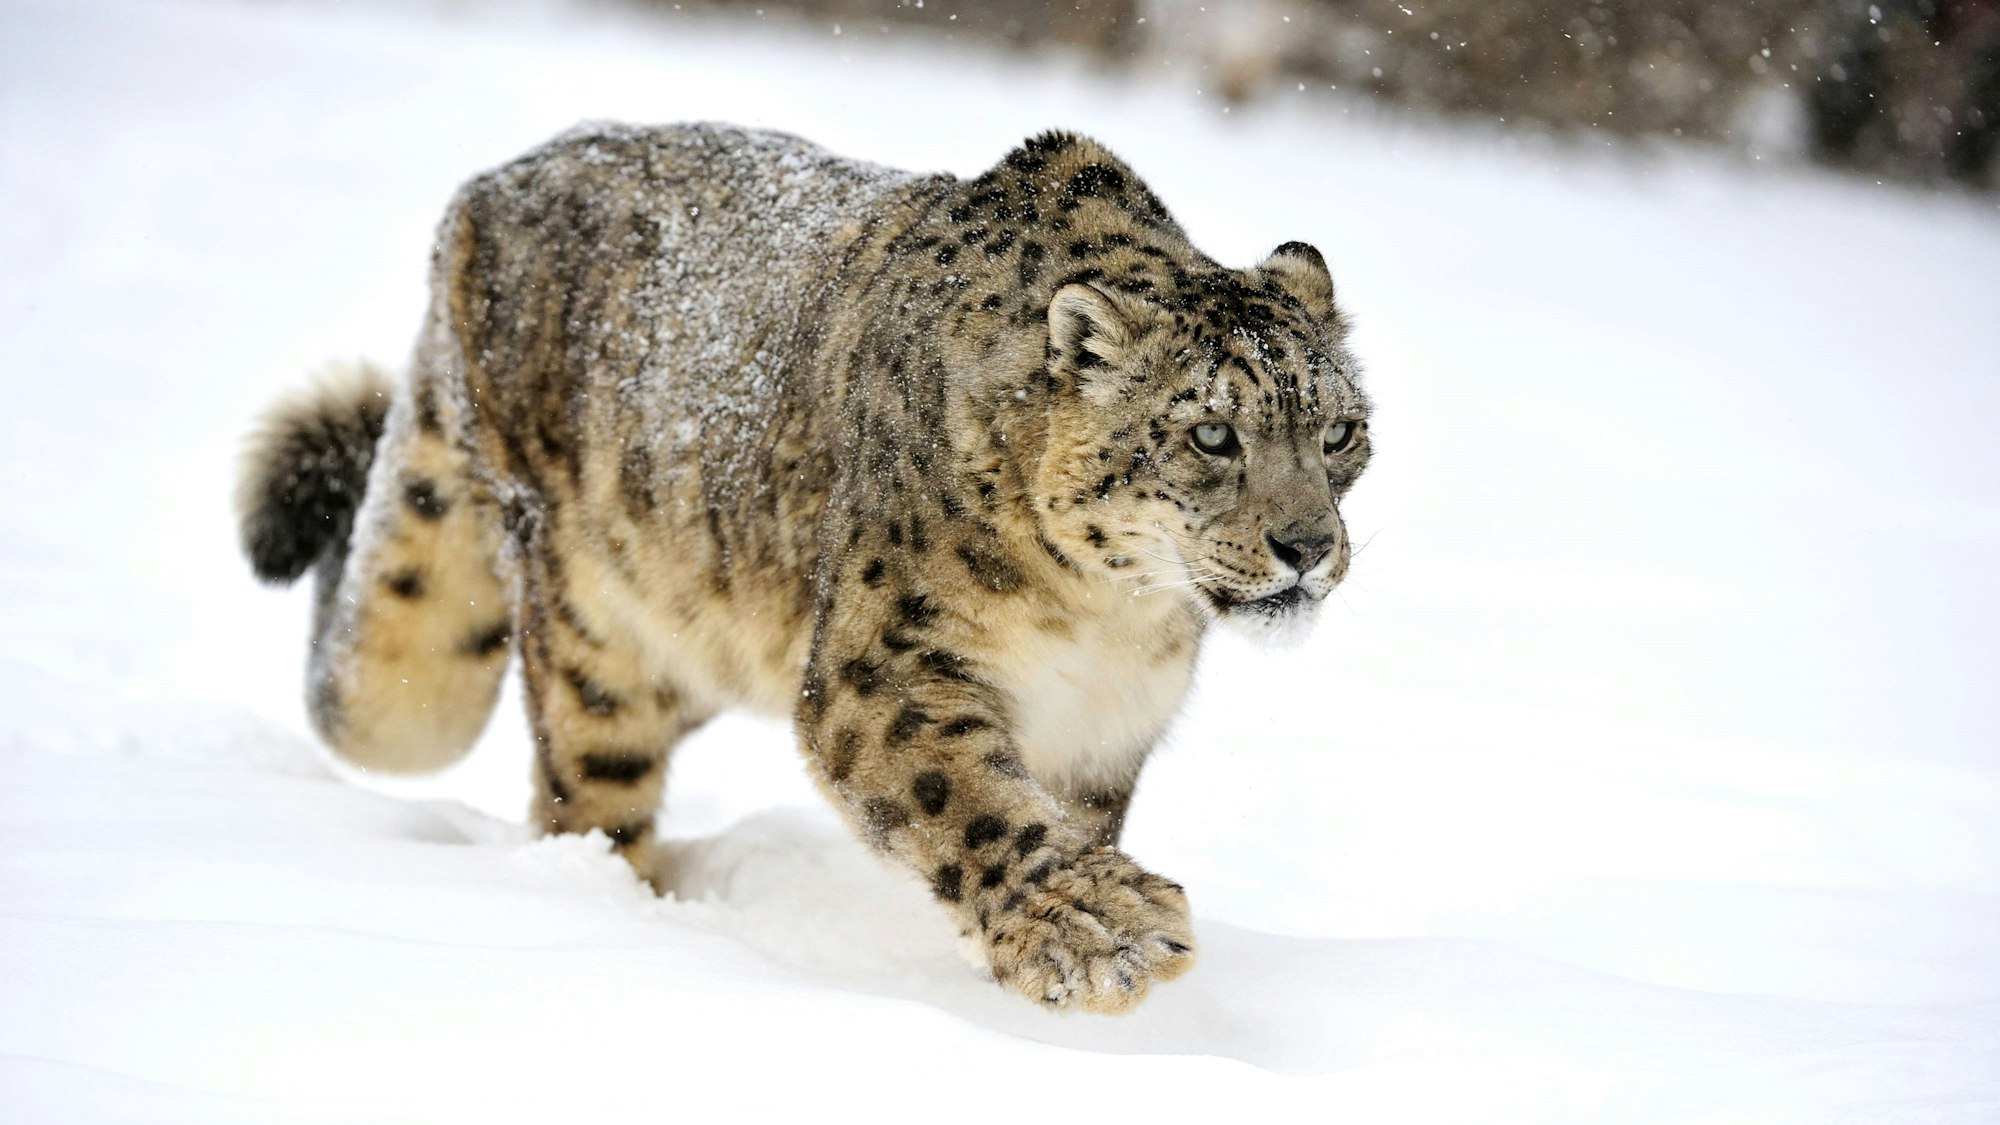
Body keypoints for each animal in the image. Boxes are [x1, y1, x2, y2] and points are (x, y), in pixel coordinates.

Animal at [236, 122, 1372, 1013]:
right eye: (1212, 434)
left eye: (1341, 432)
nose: (1308, 546)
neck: (1109, 620)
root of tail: (479, 195)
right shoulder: (886, 662)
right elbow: (963, 795)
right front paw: (1099, 929)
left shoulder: (1102, 733)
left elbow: (1047, 813)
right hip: (596, 635)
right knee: (585, 794)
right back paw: (621, 914)